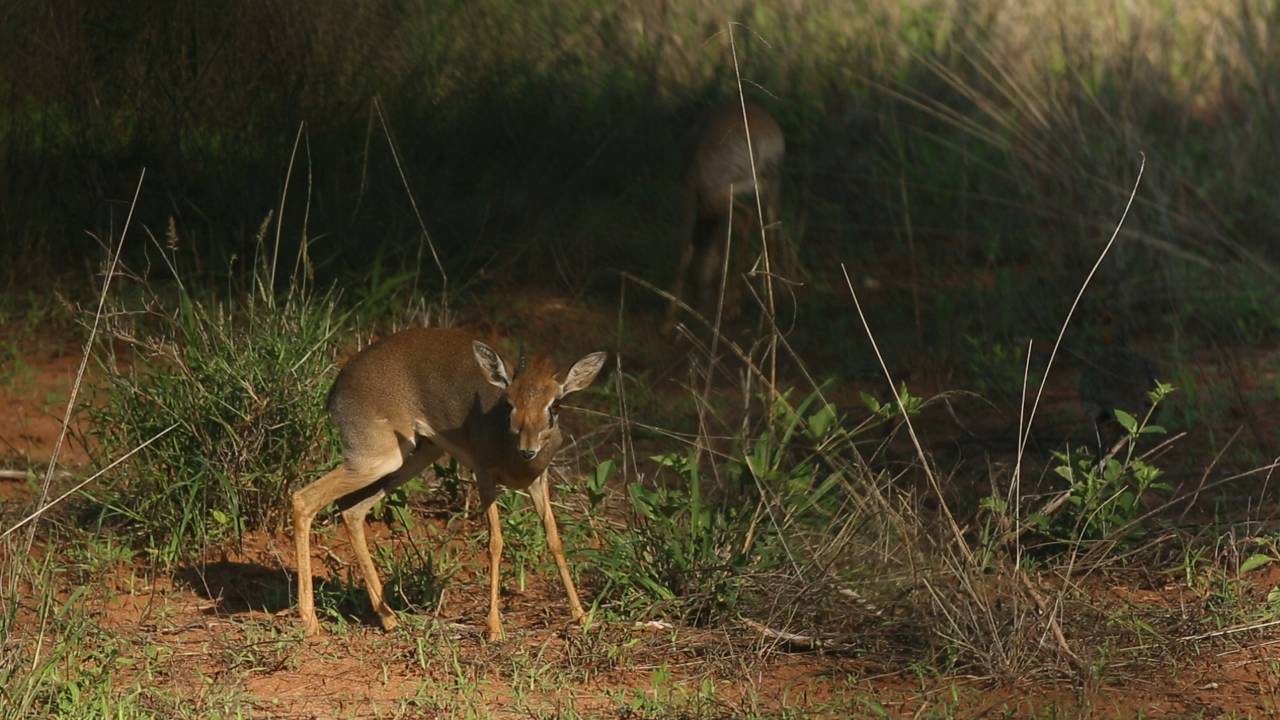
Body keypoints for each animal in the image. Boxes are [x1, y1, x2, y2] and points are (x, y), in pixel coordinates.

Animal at [293, 326, 606, 638]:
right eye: (509, 402)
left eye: (556, 405)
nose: (528, 450)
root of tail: (335, 390)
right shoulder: (484, 474)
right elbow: (495, 542)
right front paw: (494, 627)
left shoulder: (538, 481)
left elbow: (554, 539)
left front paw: (581, 616)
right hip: (377, 460)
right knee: (303, 499)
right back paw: (310, 620)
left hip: (413, 456)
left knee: (351, 510)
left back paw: (388, 617)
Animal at [665, 99, 783, 330]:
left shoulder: (691, 195)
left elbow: (686, 248)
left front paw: (668, 321)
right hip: (767, 190)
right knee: (769, 238)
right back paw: (764, 317)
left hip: (721, 195)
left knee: (746, 221)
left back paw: (730, 306)